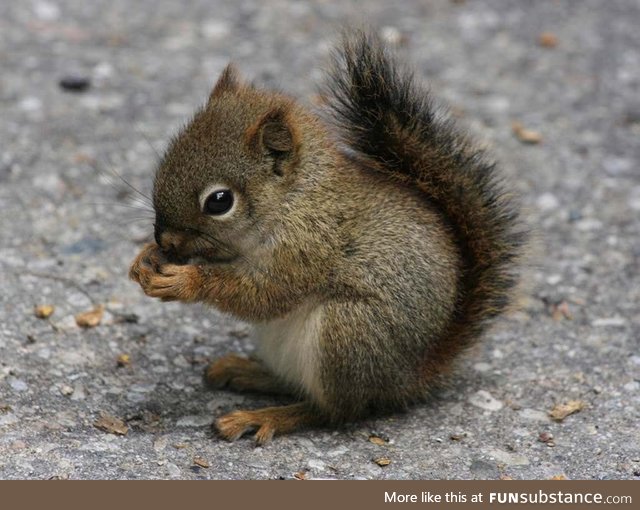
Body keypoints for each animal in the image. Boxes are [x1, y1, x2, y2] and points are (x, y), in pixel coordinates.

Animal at [127, 30, 524, 442]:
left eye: (219, 201)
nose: (166, 241)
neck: (295, 200)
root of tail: (409, 378)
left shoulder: (308, 248)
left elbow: (265, 295)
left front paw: (185, 281)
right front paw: (145, 259)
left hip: (347, 333)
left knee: (333, 411)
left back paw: (266, 416)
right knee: (294, 384)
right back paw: (246, 371)